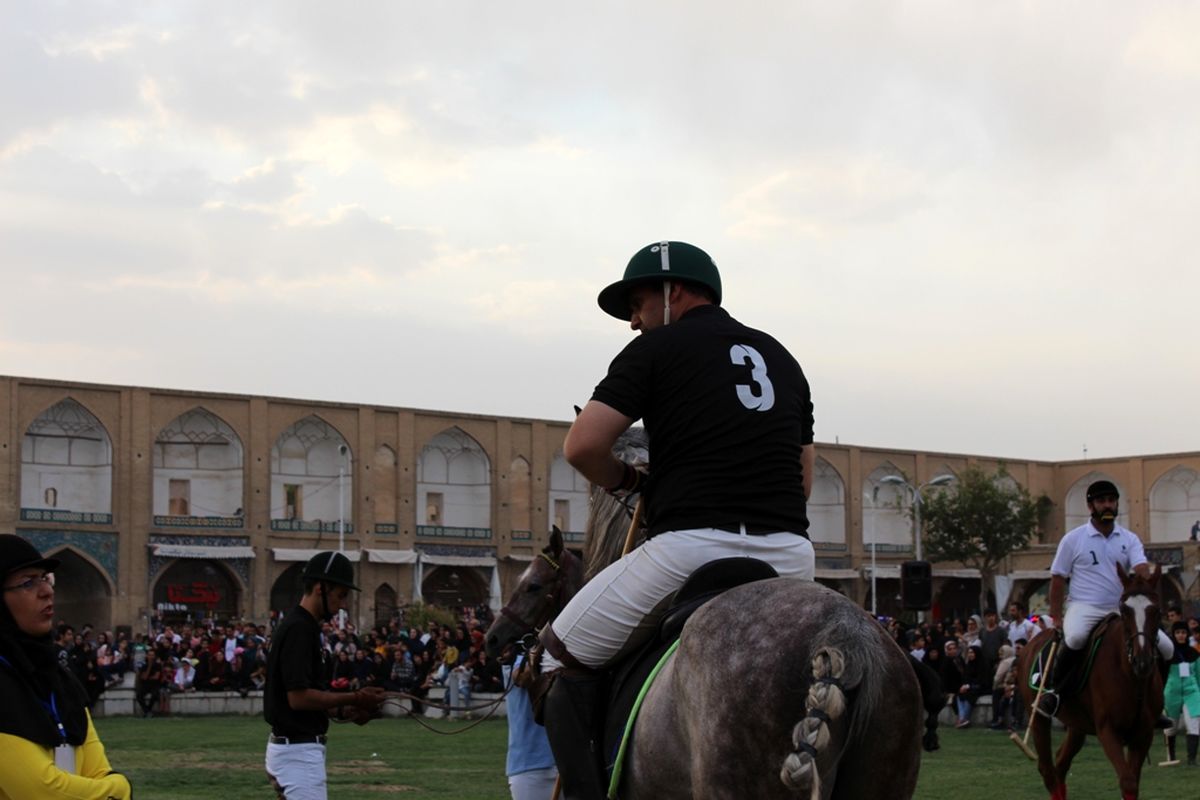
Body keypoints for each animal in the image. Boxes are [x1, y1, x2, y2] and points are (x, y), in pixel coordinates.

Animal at [1017, 563, 1166, 800]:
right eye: (1125, 611)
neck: (1132, 678)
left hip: (1077, 723)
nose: (1142, 662)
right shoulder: (1108, 730)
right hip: (1039, 718)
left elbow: (1133, 784)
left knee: (1061, 763)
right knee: (1048, 770)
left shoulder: (1143, 734)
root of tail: (1030, 644)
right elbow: (1127, 782)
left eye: (1157, 610)